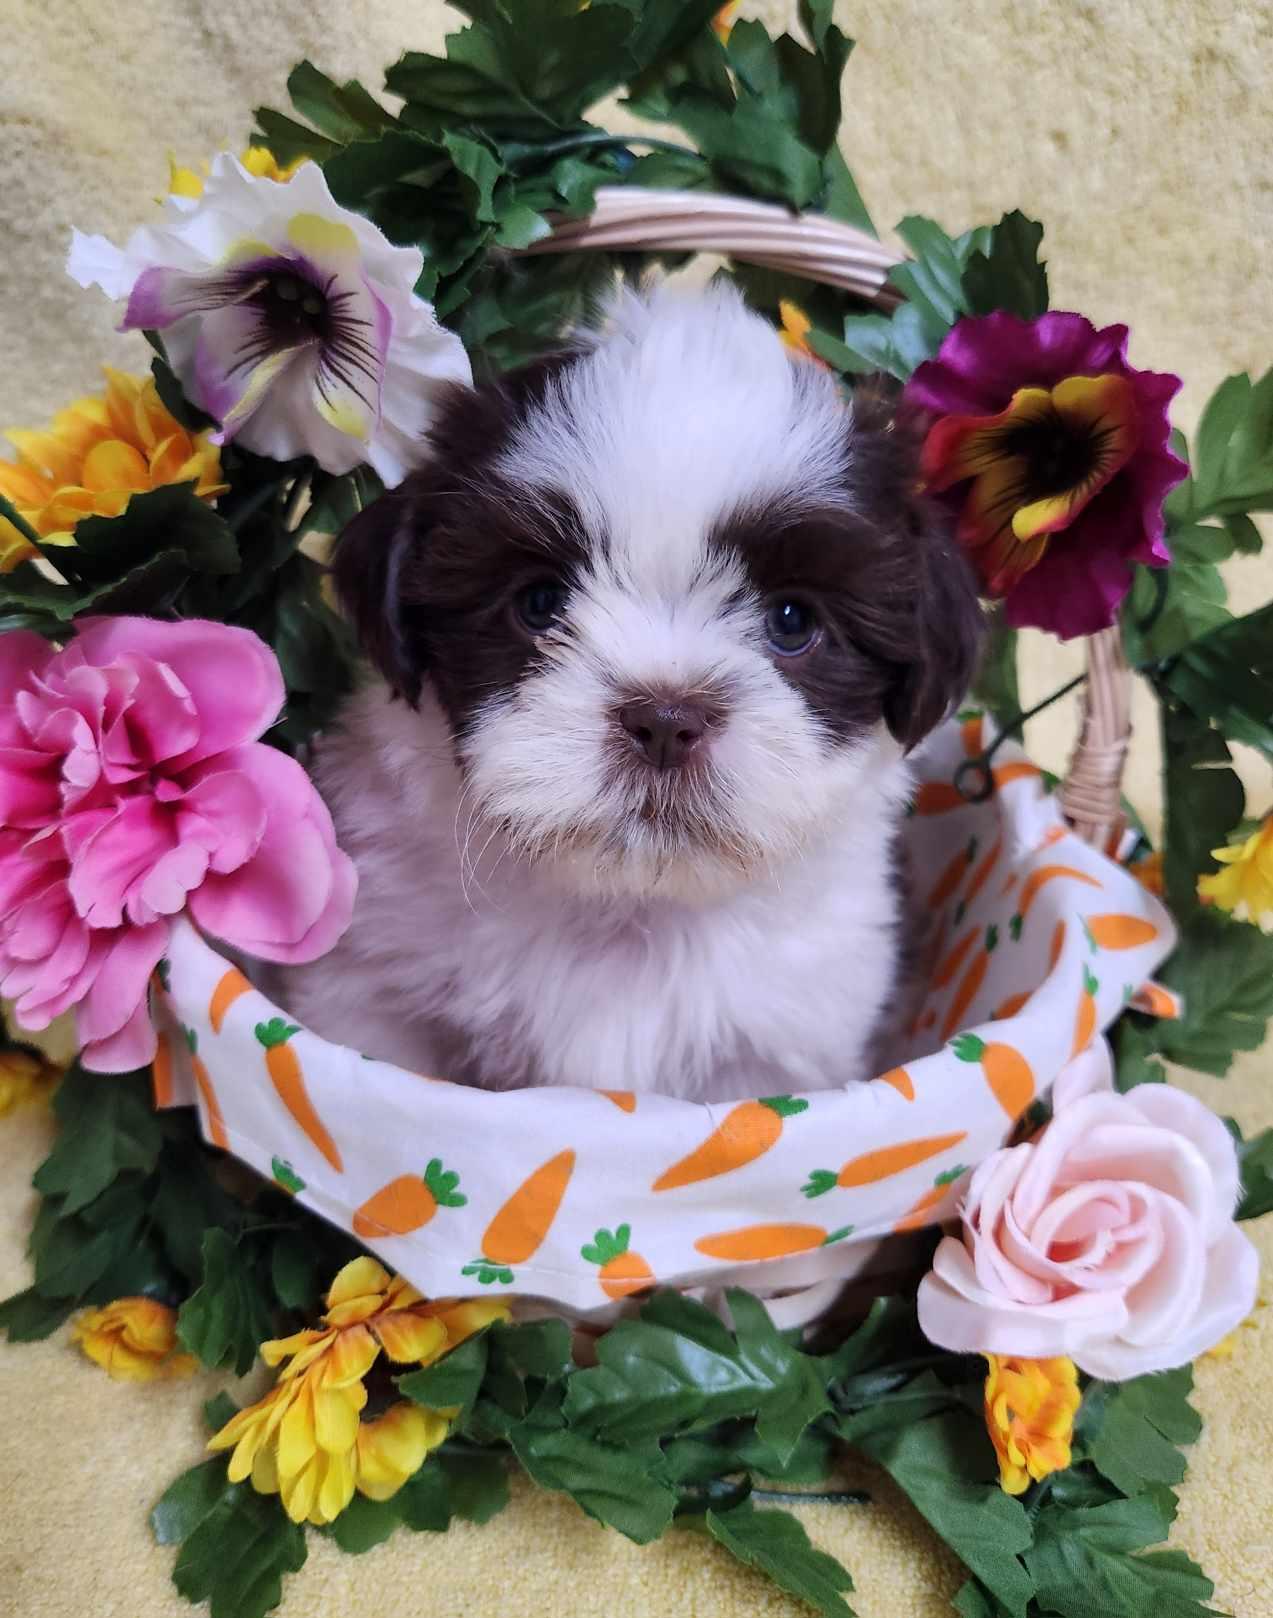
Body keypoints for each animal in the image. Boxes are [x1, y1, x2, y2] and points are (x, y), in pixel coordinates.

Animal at [275, 284, 983, 1099]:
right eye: (541, 604)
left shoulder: (773, 1052)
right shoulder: (376, 990)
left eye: (792, 621)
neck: (628, 905)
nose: (665, 719)